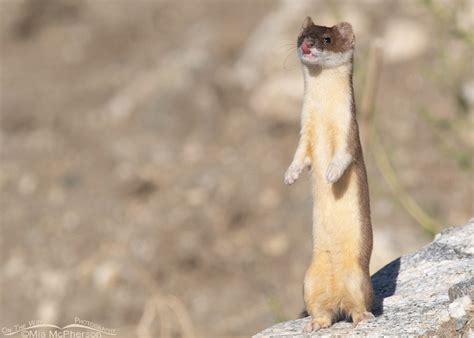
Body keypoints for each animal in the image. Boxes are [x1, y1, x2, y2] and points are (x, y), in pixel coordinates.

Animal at [286, 17, 374, 332]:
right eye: (301, 34)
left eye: (326, 38)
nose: (305, 44)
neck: (323, 115)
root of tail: (337, 295)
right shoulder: (305, 130)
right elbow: (300, 155)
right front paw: (291, 175)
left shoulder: (349, 131)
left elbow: (343, 156)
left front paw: (332, 173)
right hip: (309, 280)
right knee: (321, 309)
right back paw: (315, 323)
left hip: (358, 278)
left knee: (360, 303)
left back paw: (362, 318)